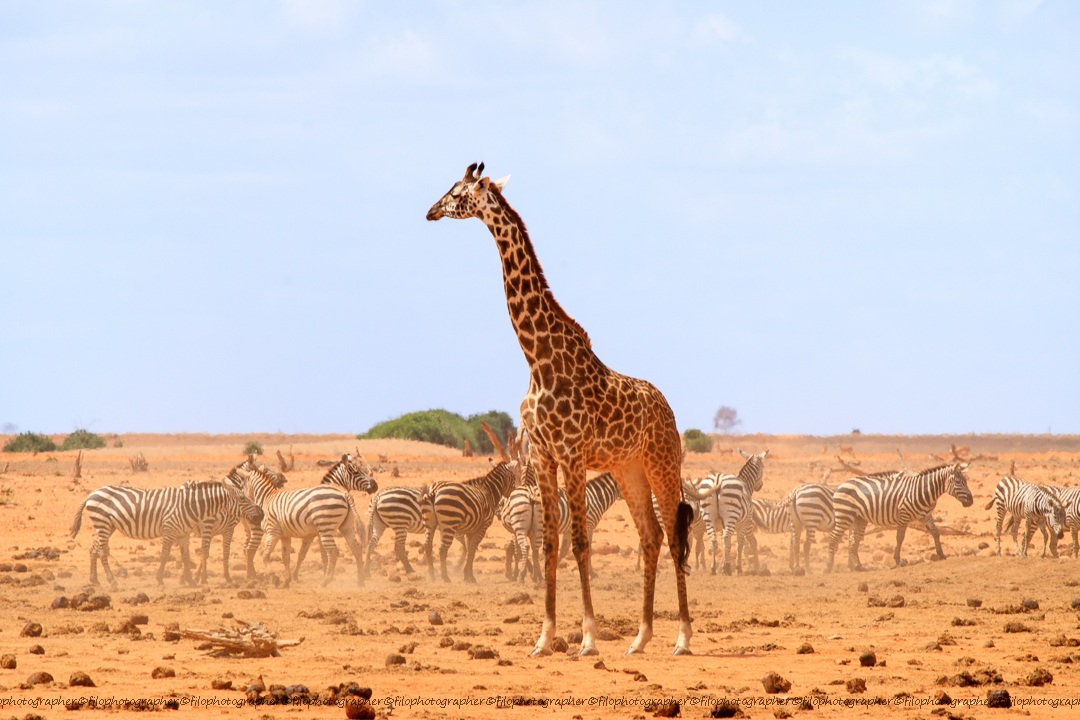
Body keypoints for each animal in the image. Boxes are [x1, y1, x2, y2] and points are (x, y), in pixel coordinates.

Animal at [427, 162, 694, 656]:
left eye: (457, 193)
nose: (430, 211)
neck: (537, 358)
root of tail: (668, 409)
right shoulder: (544, 455)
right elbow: (549, 542)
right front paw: (544, 637)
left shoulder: (571, 454)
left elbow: (580, 542)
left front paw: (587, 638)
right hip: (629, 468)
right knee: (649, 537)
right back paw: (640, 638)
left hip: (663, 463)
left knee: (673, 535)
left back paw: (683, 638)